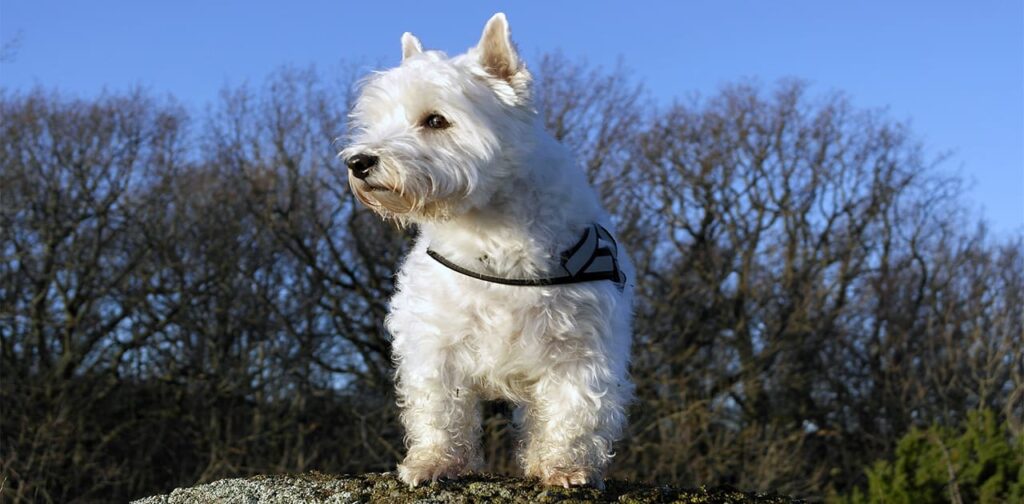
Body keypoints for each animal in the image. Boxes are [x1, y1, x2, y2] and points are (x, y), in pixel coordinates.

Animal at [342, 11, 630, 489]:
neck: (491, 233)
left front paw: (564, 467)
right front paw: (434, 463)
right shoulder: (436, 344)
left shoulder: (578, 349)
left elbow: (572, 412)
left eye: (435, 120)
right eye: (379, 120)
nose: (358, 162)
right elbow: (441, 412)